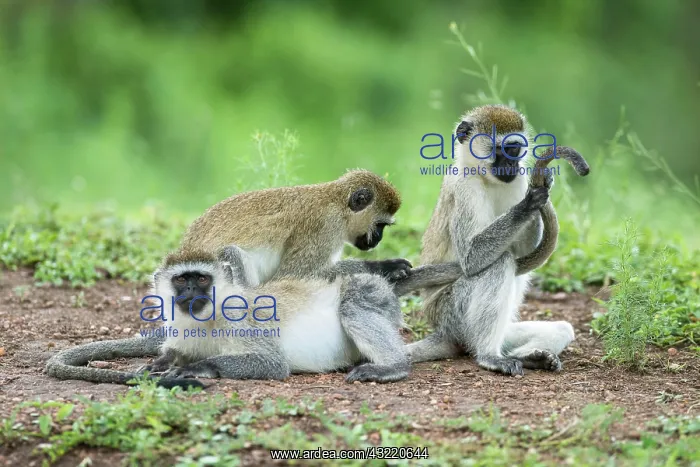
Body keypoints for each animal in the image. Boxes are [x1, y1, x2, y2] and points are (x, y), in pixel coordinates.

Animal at [47, 247, 466, 386]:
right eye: (182, 280)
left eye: (202, 279)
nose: (191, 294)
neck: (207, 319)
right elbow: (173, 352)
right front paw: (161, 363)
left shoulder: (242, 318)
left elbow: (271, 363)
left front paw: (198, 368)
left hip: (369, 292)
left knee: (353, 302)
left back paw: (392, 366)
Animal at [407, 104, 583, 376]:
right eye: (501, 150)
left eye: (515, 149)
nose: (511, 164)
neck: (486, 178)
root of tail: (444, 331)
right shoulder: (464, 186)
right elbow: (471, 258)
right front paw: (529, 203)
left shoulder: (519, 180)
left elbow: (522, 248)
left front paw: (544, 186)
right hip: (452, 314)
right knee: (499, 263)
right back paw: (489, 356)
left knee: (563, 328)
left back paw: (531, 358)